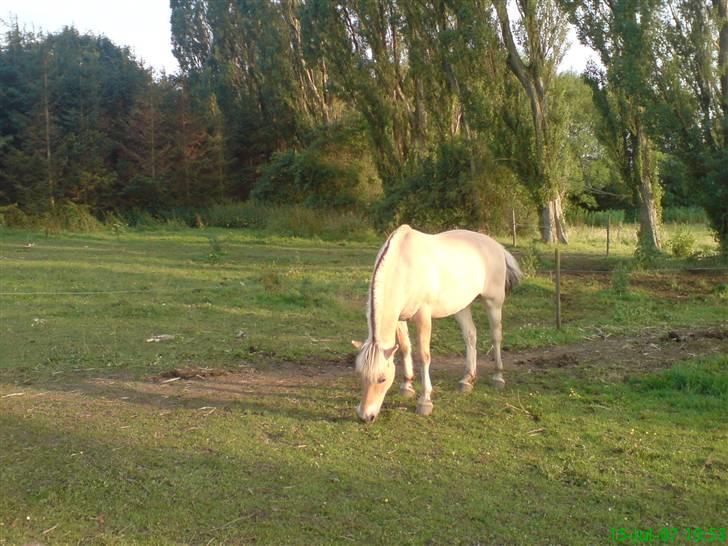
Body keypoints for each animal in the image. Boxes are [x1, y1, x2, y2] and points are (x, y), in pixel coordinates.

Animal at [354, 224, 520, 420]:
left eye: (382, 379)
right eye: (360, 375)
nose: (365, 416)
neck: (404, 266)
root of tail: (497, 246)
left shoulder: (423, 317)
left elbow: (424, 356)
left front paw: (425, 401)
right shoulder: (399, 319)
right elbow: (405, 348)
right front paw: (407, 386)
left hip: (493, 303)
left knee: (496, 336)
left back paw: (498, 377)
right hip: (461, 306)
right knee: (470, 335)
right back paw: (467, 379)